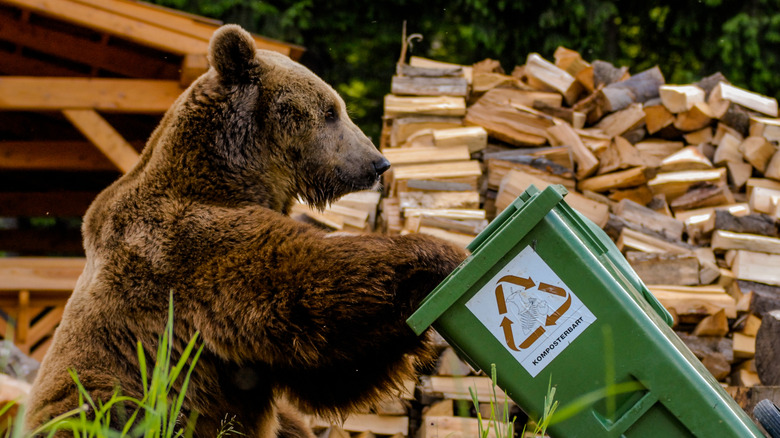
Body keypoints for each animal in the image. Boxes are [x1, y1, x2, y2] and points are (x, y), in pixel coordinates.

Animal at [24, 23, 466, 438]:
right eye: (330, 111)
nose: (378, 163)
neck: (235, 175)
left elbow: (331, 371)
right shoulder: (190, 248)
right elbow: (306, 291)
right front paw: (442, 256)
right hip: (113, 397)